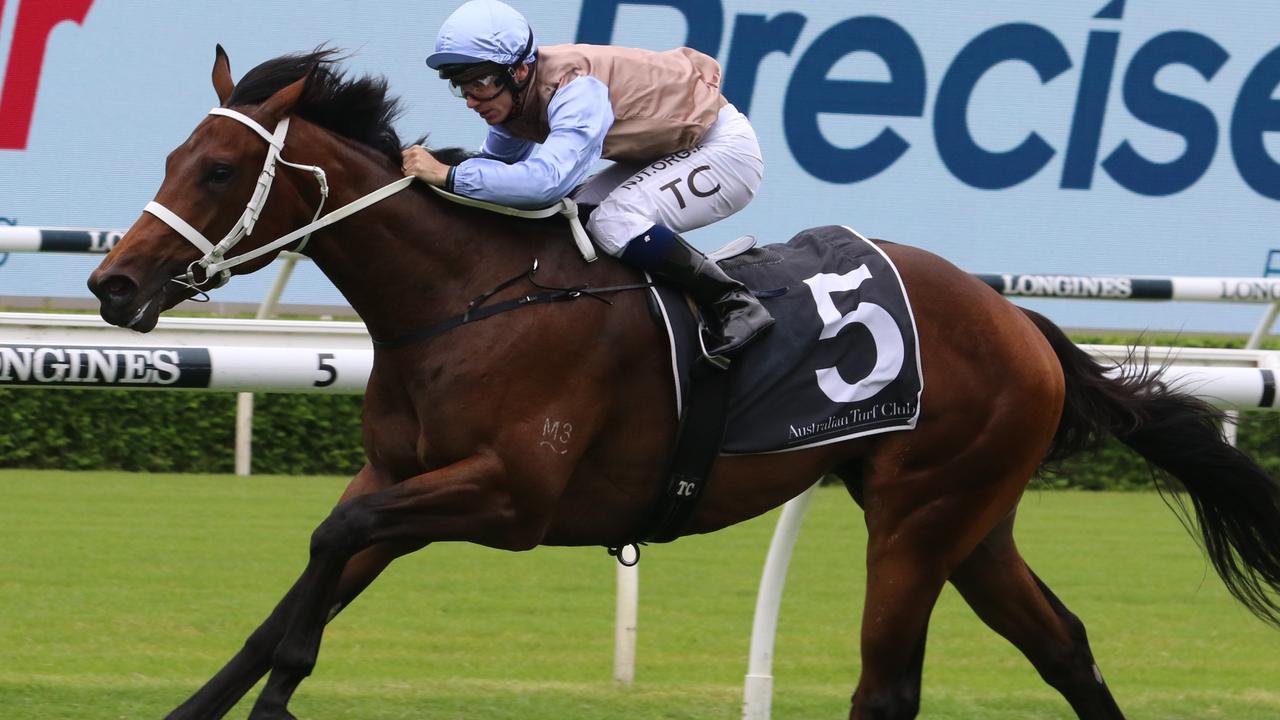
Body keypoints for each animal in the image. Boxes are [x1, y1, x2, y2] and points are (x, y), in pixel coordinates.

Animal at [87, 47, 1280, 712]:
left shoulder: (509, 498)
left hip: (918, 516)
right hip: (970, 517)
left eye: (220, 169)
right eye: (169, 159)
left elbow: (329, 550)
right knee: (1065, 649)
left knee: (886, 687)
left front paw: (280, 696)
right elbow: (314, 569)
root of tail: (1019, 321)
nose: (110, 284)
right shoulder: (401, 479)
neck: (471, 298)